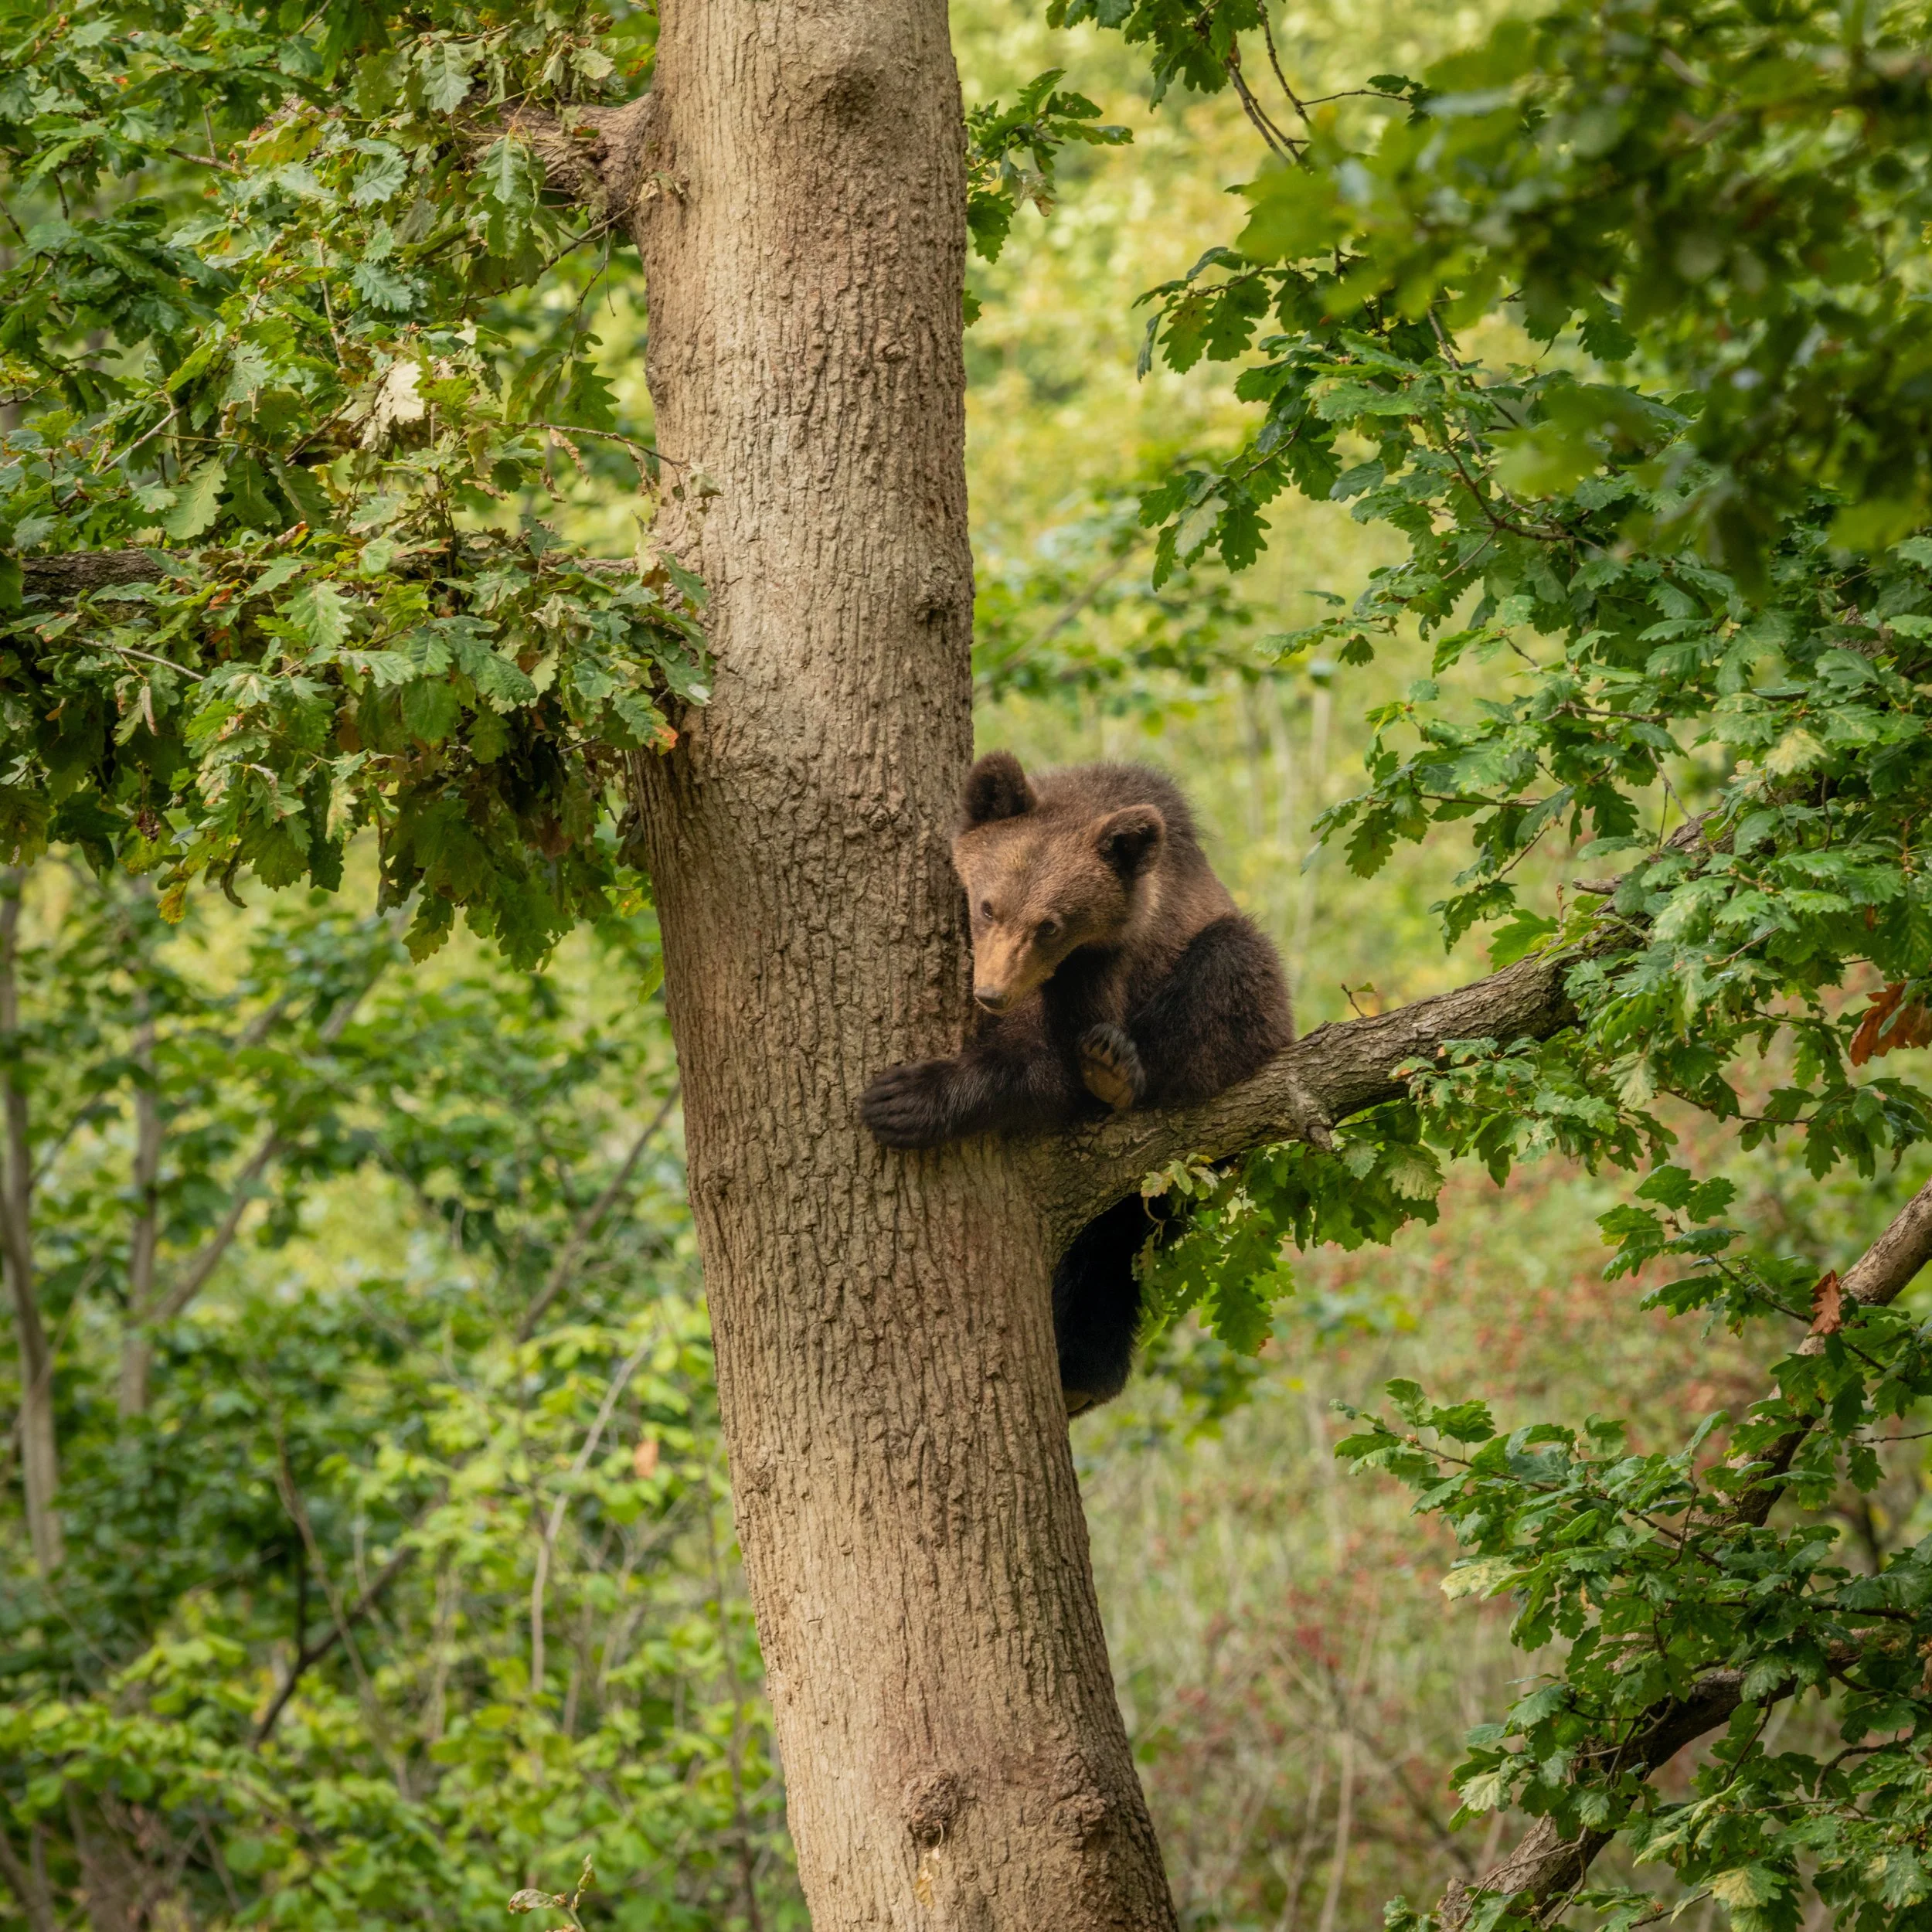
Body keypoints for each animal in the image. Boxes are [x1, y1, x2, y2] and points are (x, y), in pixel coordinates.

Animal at [860, 750, 1293, 1412]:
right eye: (988, 905)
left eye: (1051, 925)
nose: (991, 993)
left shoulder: (1104, 969)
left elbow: (1049, 1071)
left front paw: (906, 1099)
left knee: (1235, 965)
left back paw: (1120, 1072)